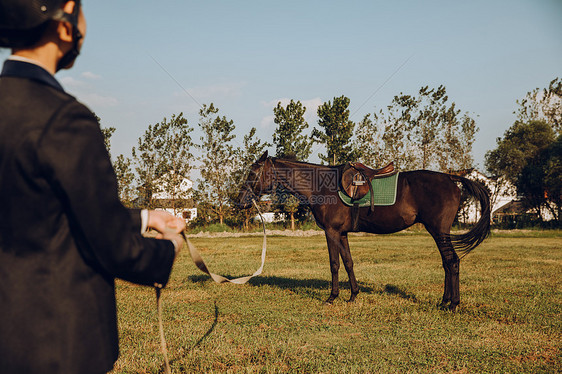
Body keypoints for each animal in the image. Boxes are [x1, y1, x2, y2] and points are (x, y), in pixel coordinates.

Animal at [236, 150, 486, 312]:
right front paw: (353, 296)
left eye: (253, 173)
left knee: (452, 262)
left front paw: (332, 297)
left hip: (439, 232)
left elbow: (334, 264)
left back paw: (453, 305)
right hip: (438, 233)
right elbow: (348, 262)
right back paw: (444, 302)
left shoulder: (331, 232)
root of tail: (451, 178)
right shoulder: (342, 234)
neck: (322, 186)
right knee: (447, 263)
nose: (240, 200)